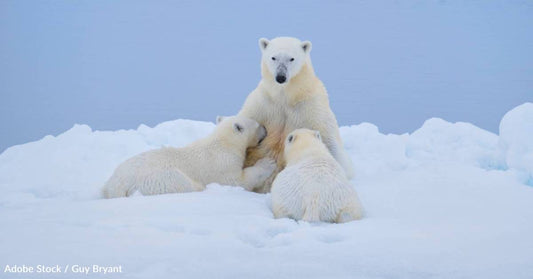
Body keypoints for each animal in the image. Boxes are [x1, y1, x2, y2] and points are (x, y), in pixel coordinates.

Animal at [101, 116, 274, 199]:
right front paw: (268, 163)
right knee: (183, 183)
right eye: (257, 124)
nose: (266, 129)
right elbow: (237, 180)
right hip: (158, 179)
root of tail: (116, 185)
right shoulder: (221, 163)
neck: (223, 142)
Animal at [238, 36, 354, 195]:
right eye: (273, 57)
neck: (286, 96)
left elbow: (328, 138)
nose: (280, 77)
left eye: (291, 58)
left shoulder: (311, 105)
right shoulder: (263, 103)